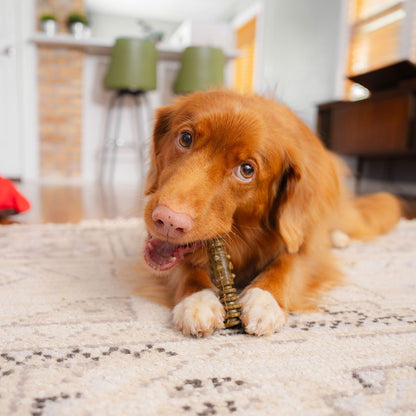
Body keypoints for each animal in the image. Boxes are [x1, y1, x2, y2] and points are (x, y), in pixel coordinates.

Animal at [143, 89, 404, 336]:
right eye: (185, 138)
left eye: (247, 170)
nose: (169, 221)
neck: (243, 238)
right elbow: (185, 268)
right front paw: (197, 299)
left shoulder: (307, 246)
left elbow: (287, 264)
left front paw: (264, 298)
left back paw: (339, 238)